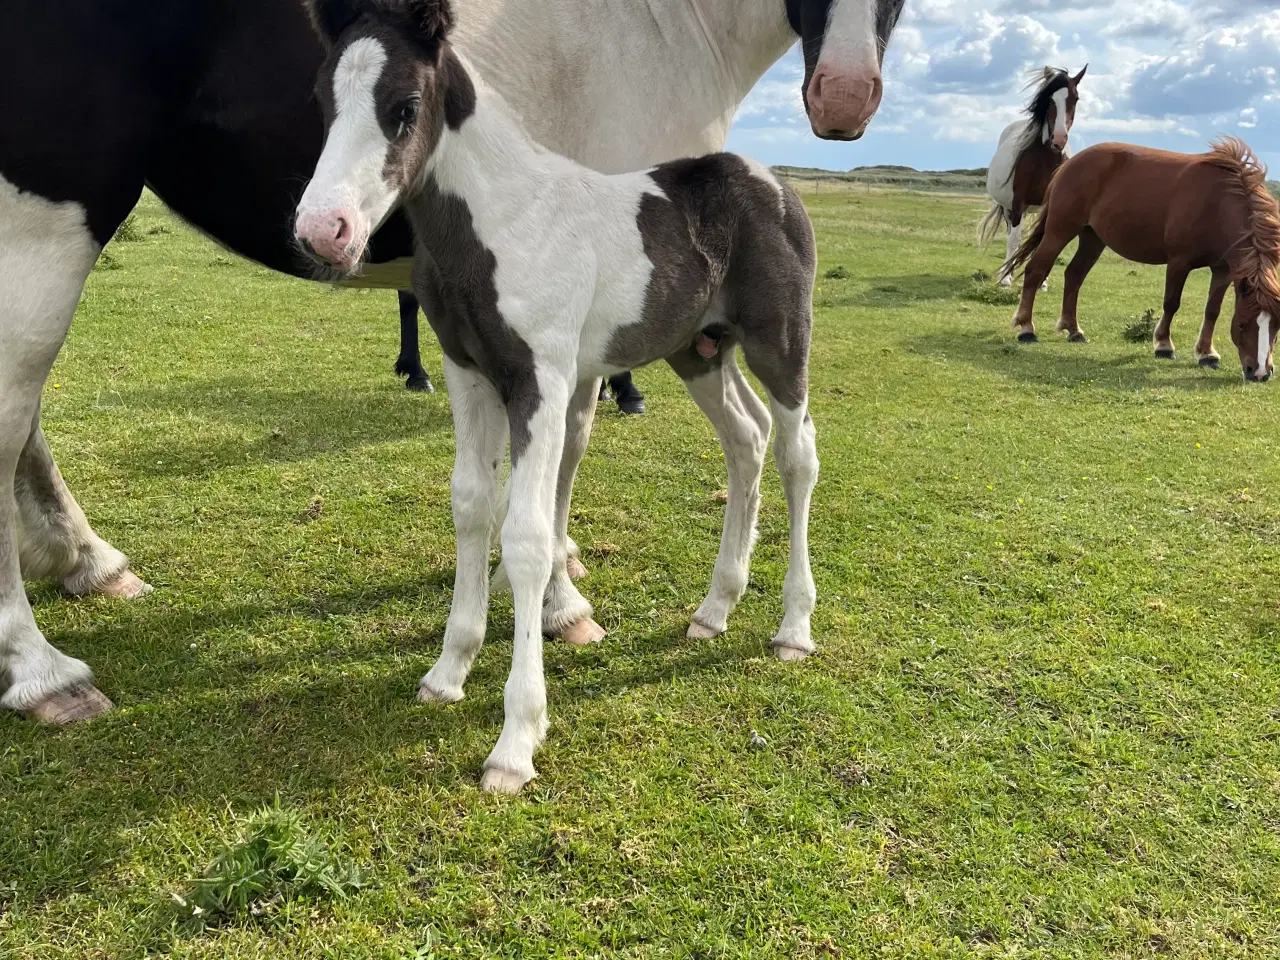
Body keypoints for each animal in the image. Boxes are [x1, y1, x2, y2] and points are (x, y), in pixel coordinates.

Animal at [294, 0, 819, 798]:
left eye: (404, 107)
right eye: (324, 102)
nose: (322, 233)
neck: (500, 221)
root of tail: (770, 181)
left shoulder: (539, 377)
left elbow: (528, 537)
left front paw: (516, 742)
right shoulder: (467, 372)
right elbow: (471, 507)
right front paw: (448, 672)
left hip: (779, 343)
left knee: (796, 452)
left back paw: (793, 628)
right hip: (699, 351)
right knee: (746, 439)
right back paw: (714, 608)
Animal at [983, 65, 1085, 299]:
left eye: (1075, 98)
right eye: (1049, 99)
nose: (1059, 140)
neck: (1046, 159)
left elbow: (1045, 244)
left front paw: (1042, 283)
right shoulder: (1018, 202)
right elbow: (1014, 239)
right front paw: (1005, 279)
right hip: (1009, 208)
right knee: (1011, 236)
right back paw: (1005, 273)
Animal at [998, 136, 1280, 381]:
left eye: (1276, 327)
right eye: (1242, 325)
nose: (1259, 373)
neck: (1217, 203)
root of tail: (1068, 164)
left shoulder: (1222, 269)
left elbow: (1212, 310)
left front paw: (1206, 354)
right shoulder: (1179, 262)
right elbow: (1171, 303)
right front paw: (1164, 345)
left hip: (1092, 238)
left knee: (1074, 275)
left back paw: (1073, 329)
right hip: (1060, 229)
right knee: (1036, 270)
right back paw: (1026, 328)